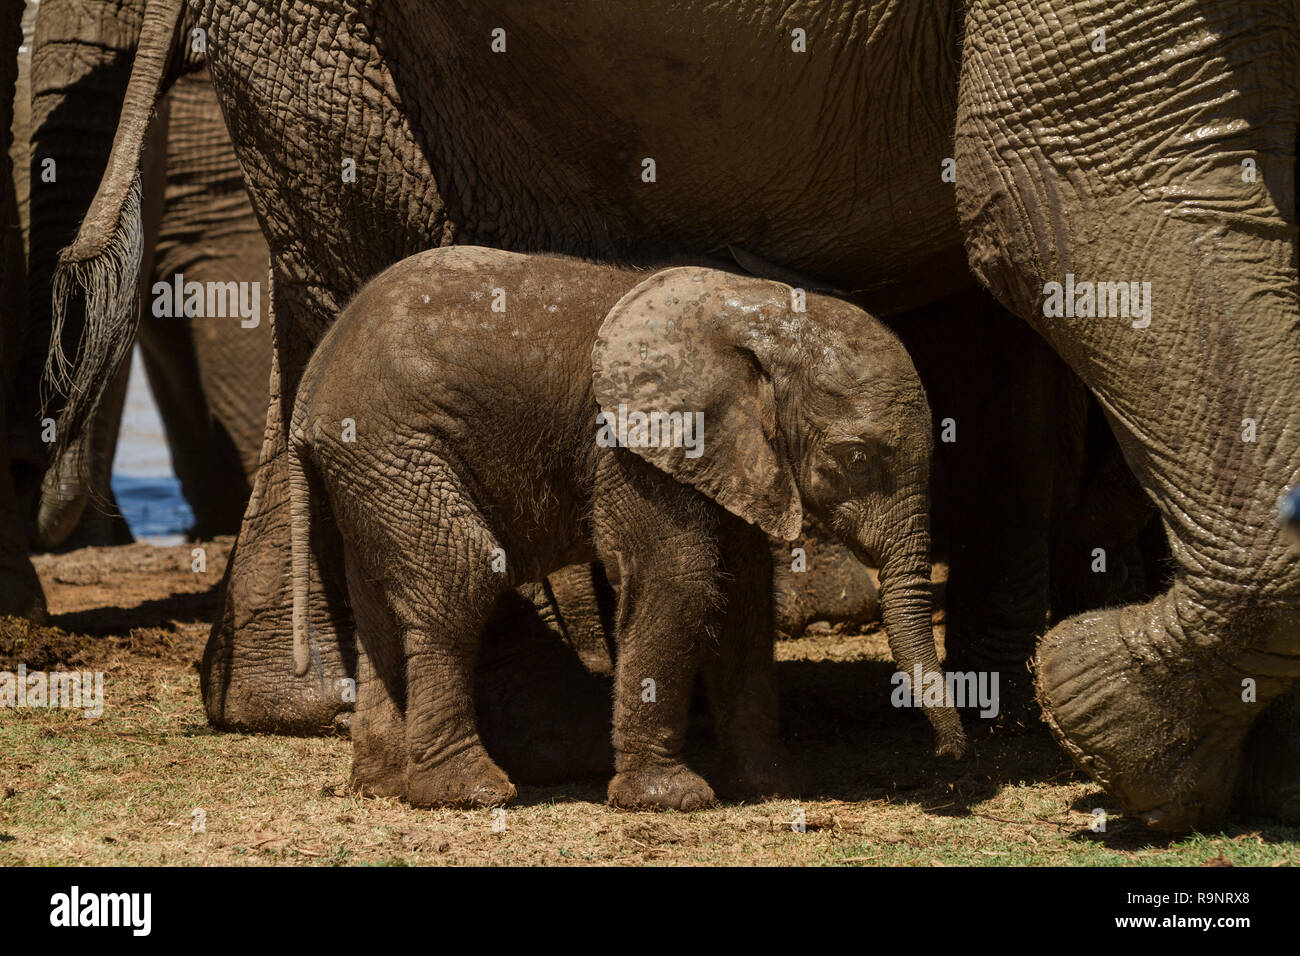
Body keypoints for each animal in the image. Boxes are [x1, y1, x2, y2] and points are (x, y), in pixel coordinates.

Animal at [295, 244, 967, 806]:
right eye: (856, 458)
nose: (949, 755)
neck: (756, 310)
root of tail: (311, 383)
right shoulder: (632, 447)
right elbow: (680, 578)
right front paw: (671, 800)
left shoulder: (731, 452)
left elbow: (744, 598)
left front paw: (775, 786)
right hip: (394, 444)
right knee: (460, 575)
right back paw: (466, 794)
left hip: (372, 465)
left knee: (379, 608)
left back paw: (384, 785)